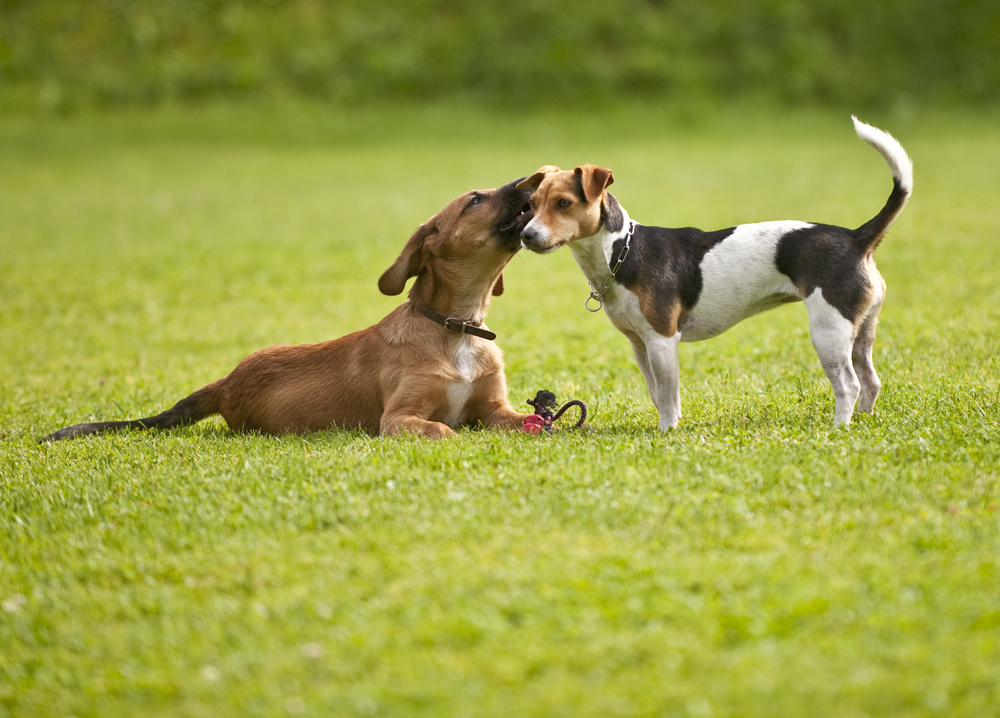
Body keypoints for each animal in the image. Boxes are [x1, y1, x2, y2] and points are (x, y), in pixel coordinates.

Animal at [43, 179, 536, 444]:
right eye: (475, 200)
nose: (529, 183)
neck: (457, 327)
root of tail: (227, 382)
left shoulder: (495, 408)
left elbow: (525, 420)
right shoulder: (397, 419)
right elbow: (444, 430)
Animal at [516, 118, 916, 430]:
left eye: (564, 203)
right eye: (531, 205)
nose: (525, 236)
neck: (622, 251)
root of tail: (856, 237)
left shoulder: (662, 341)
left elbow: (668, 396)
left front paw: (667, 431)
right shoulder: (639, 345)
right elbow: (655, 393)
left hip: (828, 331)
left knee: (849, 384)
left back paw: (838, 426)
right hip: (860, 330)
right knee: (871, 381)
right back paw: (861, 421)